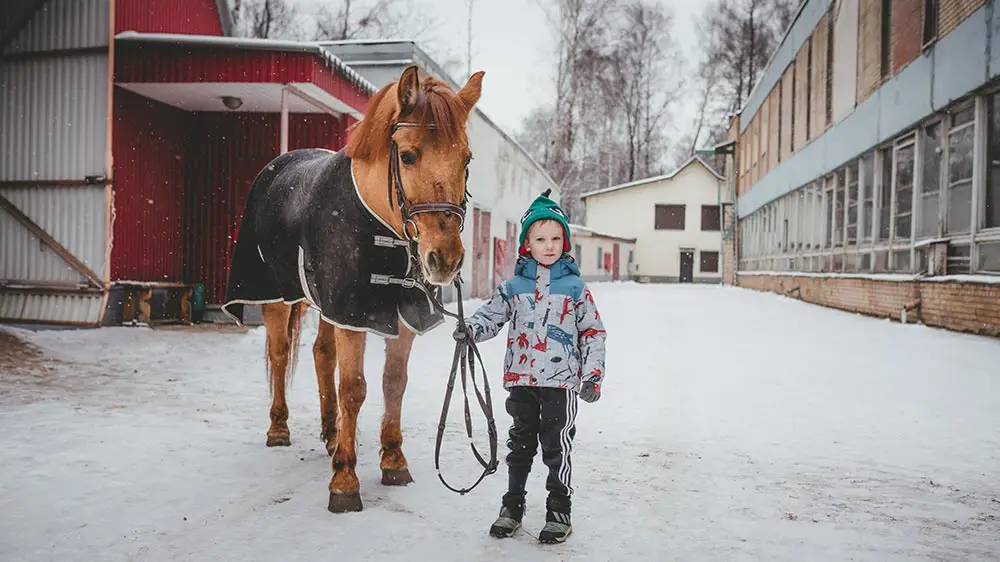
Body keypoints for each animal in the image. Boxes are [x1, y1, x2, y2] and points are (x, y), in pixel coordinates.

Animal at [222, 63, 484, 510]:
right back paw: (279, 428)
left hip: (327, 305)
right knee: (280, 354)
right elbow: (354, 388)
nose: (445, 259)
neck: (380, 221)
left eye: (465, 159)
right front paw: (344, 480)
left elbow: (393, 384)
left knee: (320, 354)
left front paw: (393, 461)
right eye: (408, 155)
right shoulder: (353, 314)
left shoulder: (397, 316)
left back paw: (331, 434)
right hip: (277, 295)